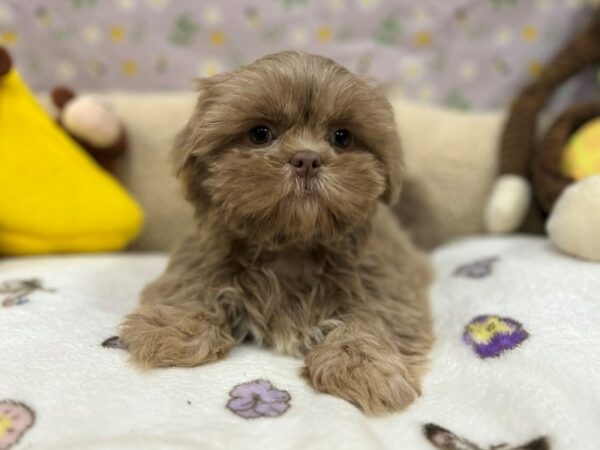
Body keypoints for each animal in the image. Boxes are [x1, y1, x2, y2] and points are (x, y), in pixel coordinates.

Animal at [120, 50, 432, 414]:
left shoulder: (386, 279)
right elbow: (191, 284)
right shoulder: (203, 254)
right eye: (260, 134)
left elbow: (376, 317)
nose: (307, 159)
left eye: (342, 137)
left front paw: (362, 365)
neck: (292, 244)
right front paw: (171, 328)